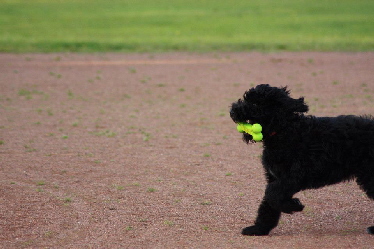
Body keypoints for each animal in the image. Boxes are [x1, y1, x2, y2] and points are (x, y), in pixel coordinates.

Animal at [231, 84, 374, 236]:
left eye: (255, 104)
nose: (232, 110)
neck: (286, 130)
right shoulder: (275, 178)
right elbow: (269, 202)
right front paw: (259, 228)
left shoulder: (295, 176)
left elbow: (272, 194)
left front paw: (294, 206)